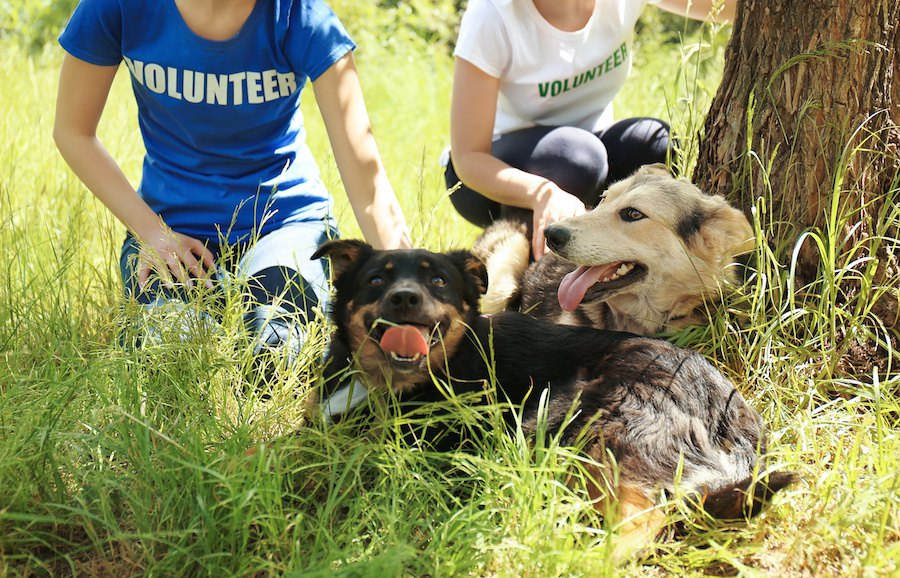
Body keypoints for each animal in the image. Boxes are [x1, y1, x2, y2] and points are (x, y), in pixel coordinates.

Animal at [312, 241, 792, 552]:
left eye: (438, 280)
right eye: (376, 279)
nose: (405, 298)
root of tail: (734, 422)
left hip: (579, 417)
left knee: (645, 517)